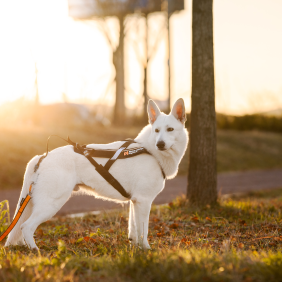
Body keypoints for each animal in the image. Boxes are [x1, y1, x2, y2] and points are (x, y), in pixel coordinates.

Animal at [4, 98, 188, 249]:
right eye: (156, 130)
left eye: (170, 129)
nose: (160, 144)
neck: (149, 150)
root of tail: (42, 157)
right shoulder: (144, 201)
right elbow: (143, 231)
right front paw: (146, 251)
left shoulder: (135, 202)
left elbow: (133, 229)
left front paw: (135, 248)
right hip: (51, 204)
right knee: (26, 226)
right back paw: (34, 250)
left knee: (20, 228)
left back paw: (22, 247)